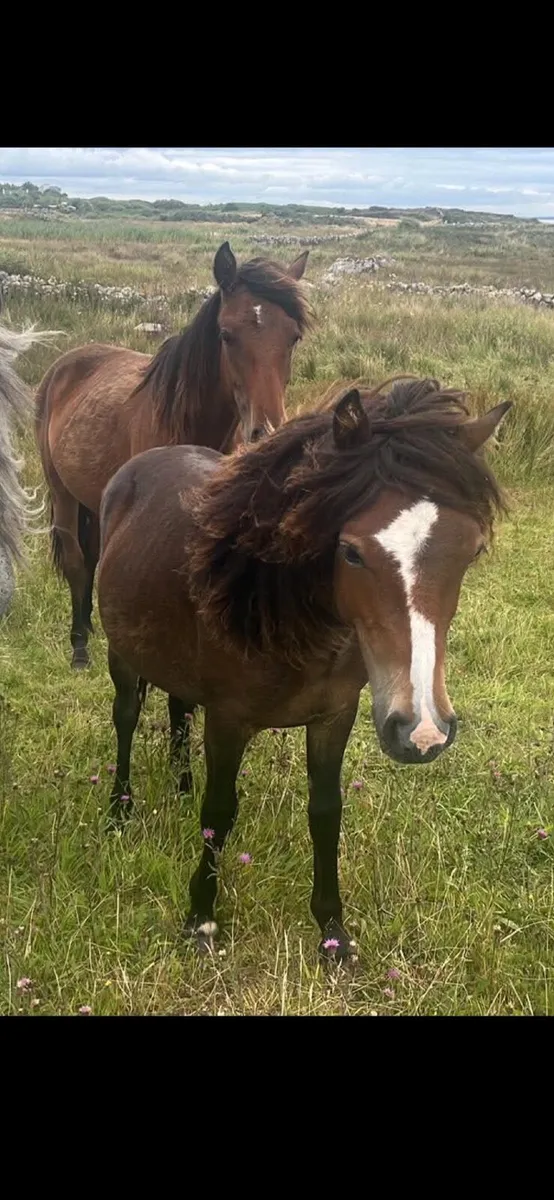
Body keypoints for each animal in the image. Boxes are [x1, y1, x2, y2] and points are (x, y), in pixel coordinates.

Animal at [35, 241, 311, 669]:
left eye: (293, 337)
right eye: (226, 335)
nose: (264, 431)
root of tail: (64, 365)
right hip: (61, 492)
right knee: (78, 563)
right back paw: (80, 646)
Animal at [97, 377, 511, 962]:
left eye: (471, 551)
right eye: (352, 552)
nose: (423, 730)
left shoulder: (335, 716)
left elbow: (326, 813)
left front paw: (333, 932)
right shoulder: (228, 721)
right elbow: (218, 814)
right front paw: (201, 920)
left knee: (179, 706)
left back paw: (179, 784)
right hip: (122, 655)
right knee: (127, 718)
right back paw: (120, 811)